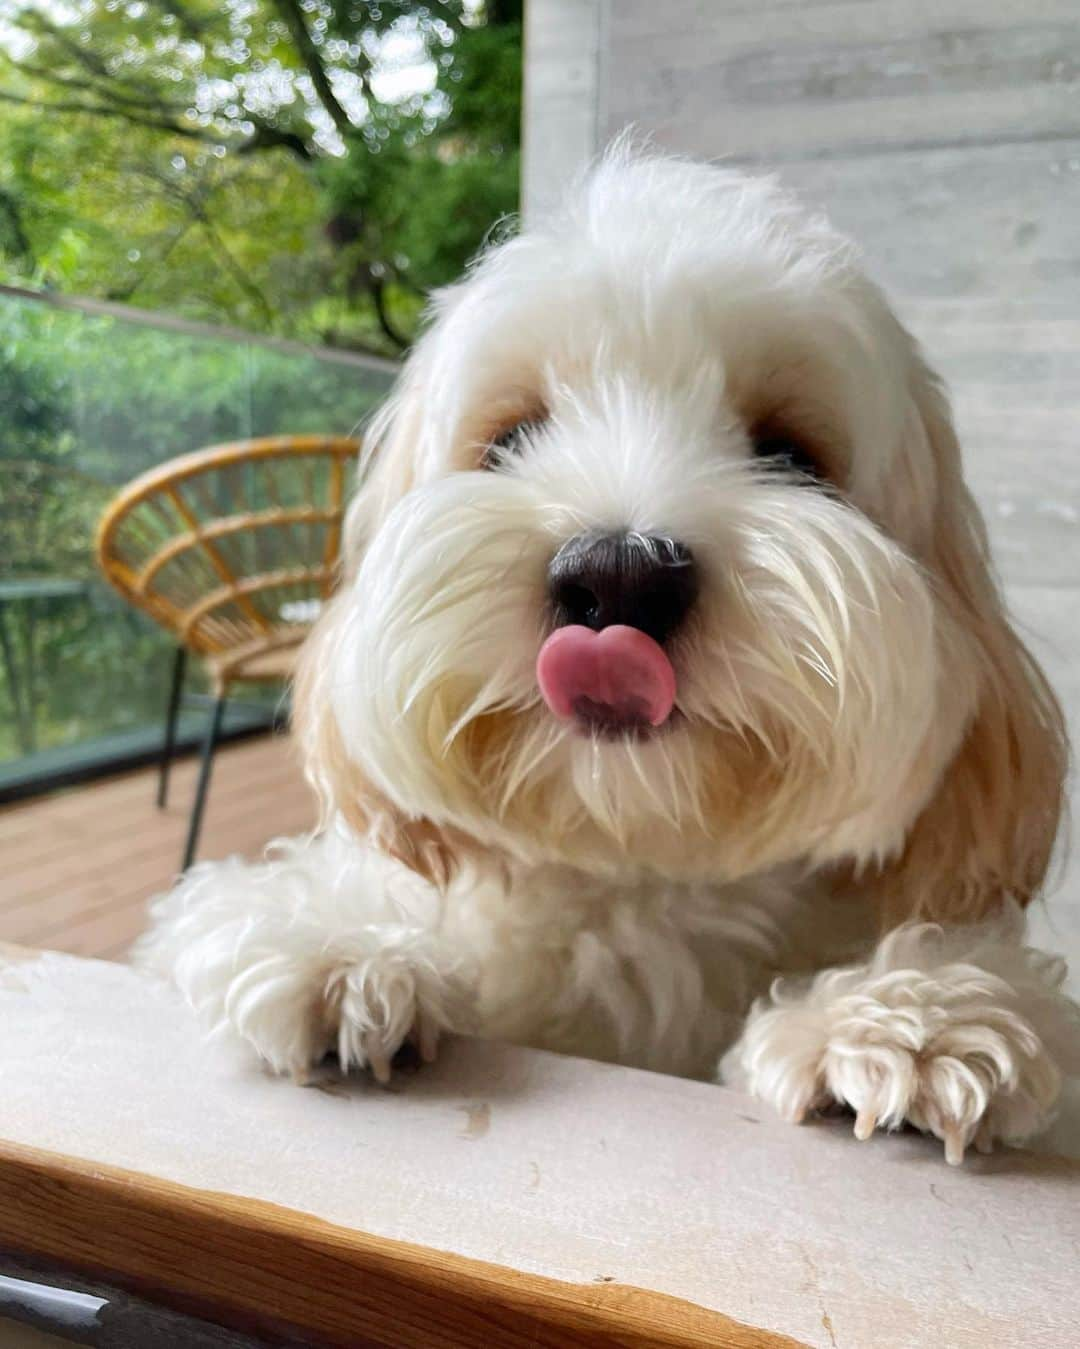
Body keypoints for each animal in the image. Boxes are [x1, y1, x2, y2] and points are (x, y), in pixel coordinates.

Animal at [136, 145, 1078, 1160]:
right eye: (510, 436)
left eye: (791, 454)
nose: (618, 577)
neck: (639, 876)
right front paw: (339, 935)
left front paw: (905, 1013)